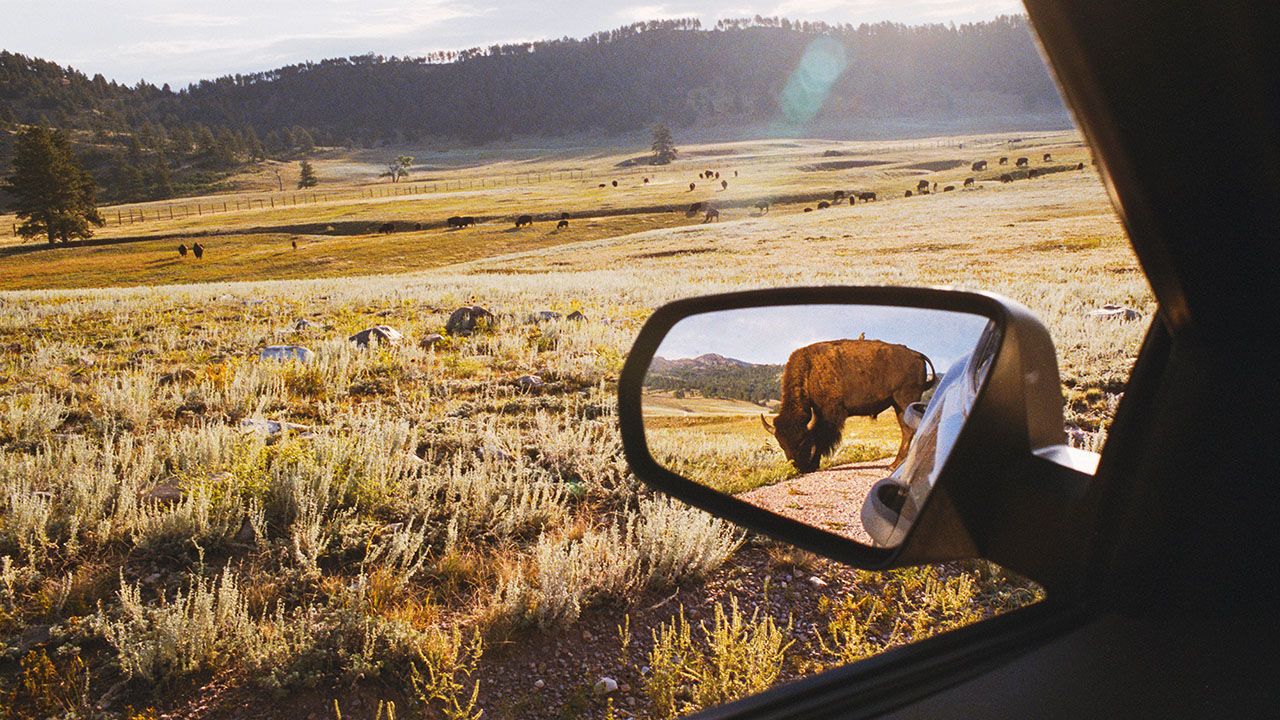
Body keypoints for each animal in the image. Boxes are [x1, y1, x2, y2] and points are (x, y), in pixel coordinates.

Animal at [761, 339, 936, 473]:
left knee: (911, 429)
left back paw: (895, 465)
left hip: (904, 401)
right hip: (898, 405)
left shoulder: (829, 415)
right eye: (781, 444)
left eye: (802, 441)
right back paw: (894, 465)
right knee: (906, 430)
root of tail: (916, 354)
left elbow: (821, 439)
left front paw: (814, 465)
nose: (798, 468)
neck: (810, 371)